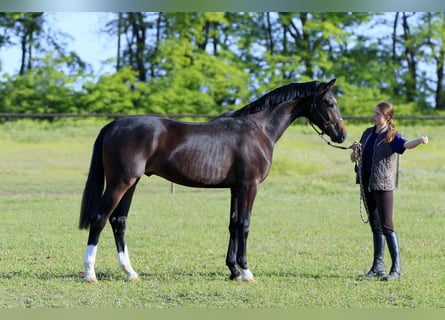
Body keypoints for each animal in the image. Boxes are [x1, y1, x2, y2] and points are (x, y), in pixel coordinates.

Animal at [78, 78, 346, 282]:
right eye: (329, 103)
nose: (341, 134)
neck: (259, 129)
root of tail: (112, 126)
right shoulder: (249, 186)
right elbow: (245, 225)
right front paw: (246, 272)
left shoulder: (236, 188)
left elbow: (233, 225)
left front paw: (233, 270)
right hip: (120, 182)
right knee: (99, 218)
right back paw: (90, 273)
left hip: (131, 183)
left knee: (118, 221)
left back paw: (130, 272)